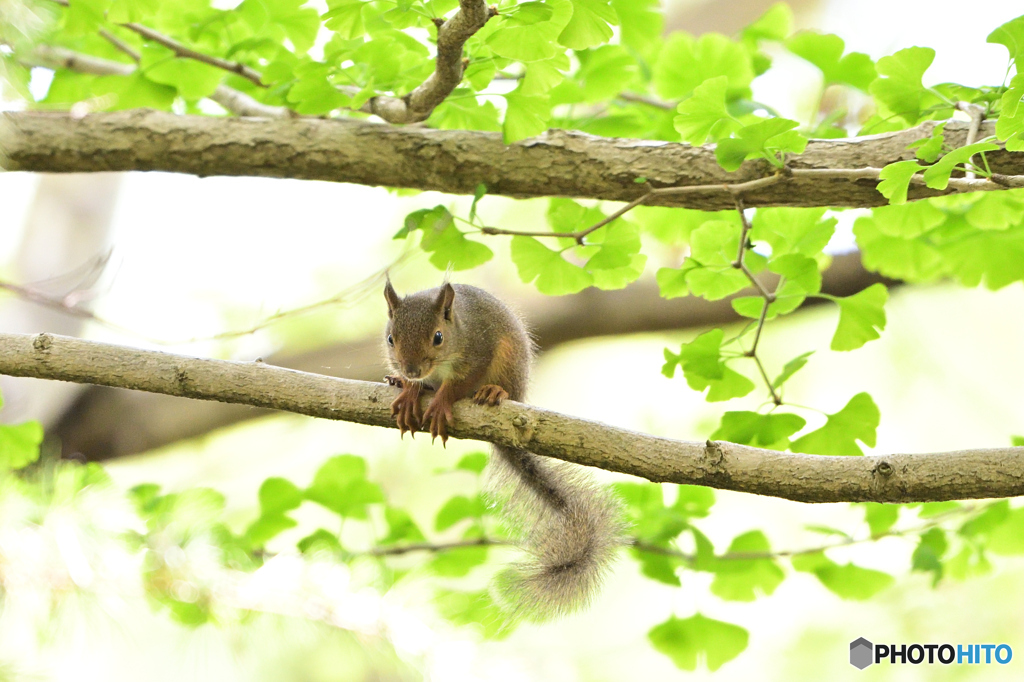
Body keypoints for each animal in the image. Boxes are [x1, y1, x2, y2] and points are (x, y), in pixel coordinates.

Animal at [385, 278, 622, 618]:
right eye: (390, 338)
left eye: (438, 337)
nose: (412, 370)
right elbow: (419, 387)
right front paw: (408, 391)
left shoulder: (479, 350)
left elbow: (458, 384)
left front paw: (441, 401)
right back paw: (398, 382)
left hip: (509, 362)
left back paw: (493, 392)